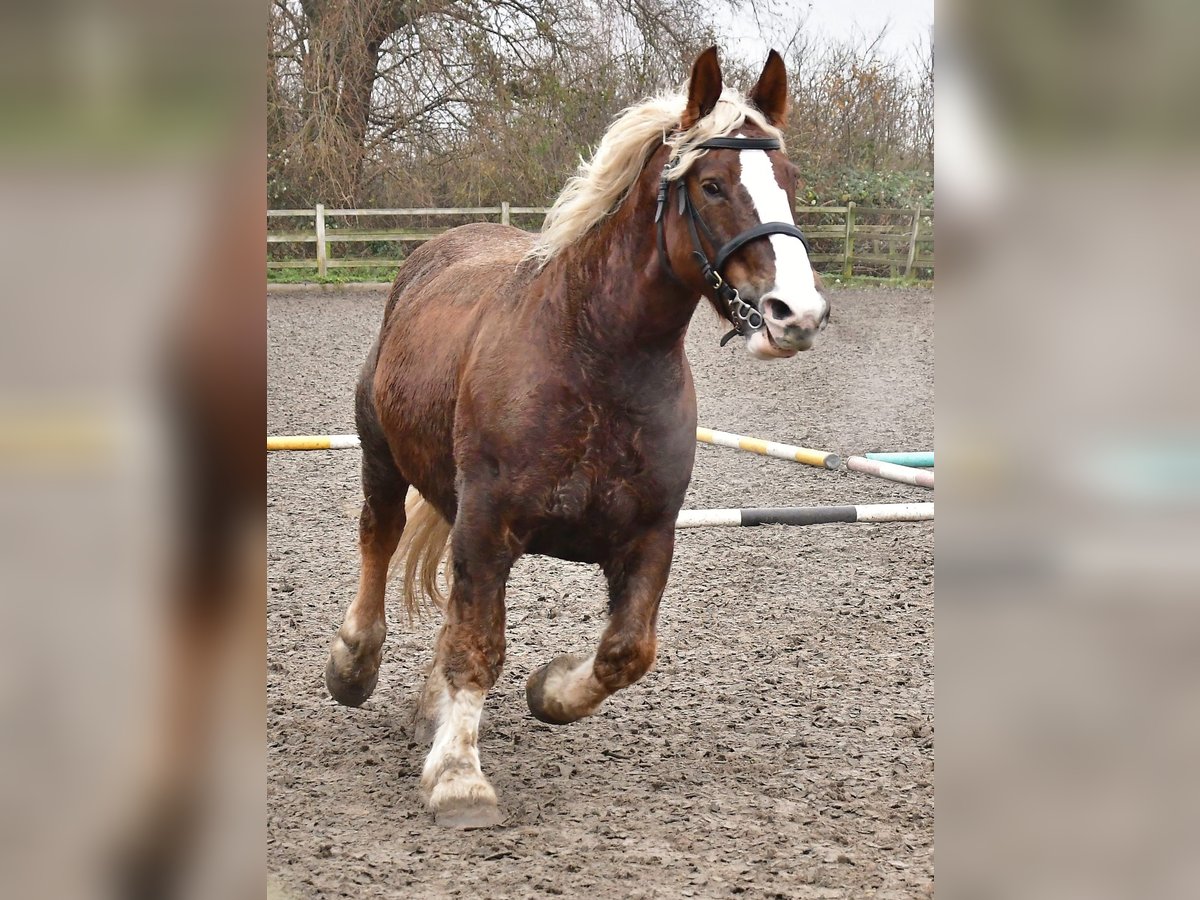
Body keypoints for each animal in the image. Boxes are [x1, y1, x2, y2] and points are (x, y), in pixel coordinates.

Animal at [324, 45, 830, 830]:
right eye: (713, 185)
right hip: (381, 457)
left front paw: (550, 687)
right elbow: (477, 645)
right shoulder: (487, 525)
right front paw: (459, 777)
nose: (795, 314)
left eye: (791, 182)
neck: (597, 359)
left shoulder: (648, 535)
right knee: (377, 541)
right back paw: (354, 663)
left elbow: (626, 651)